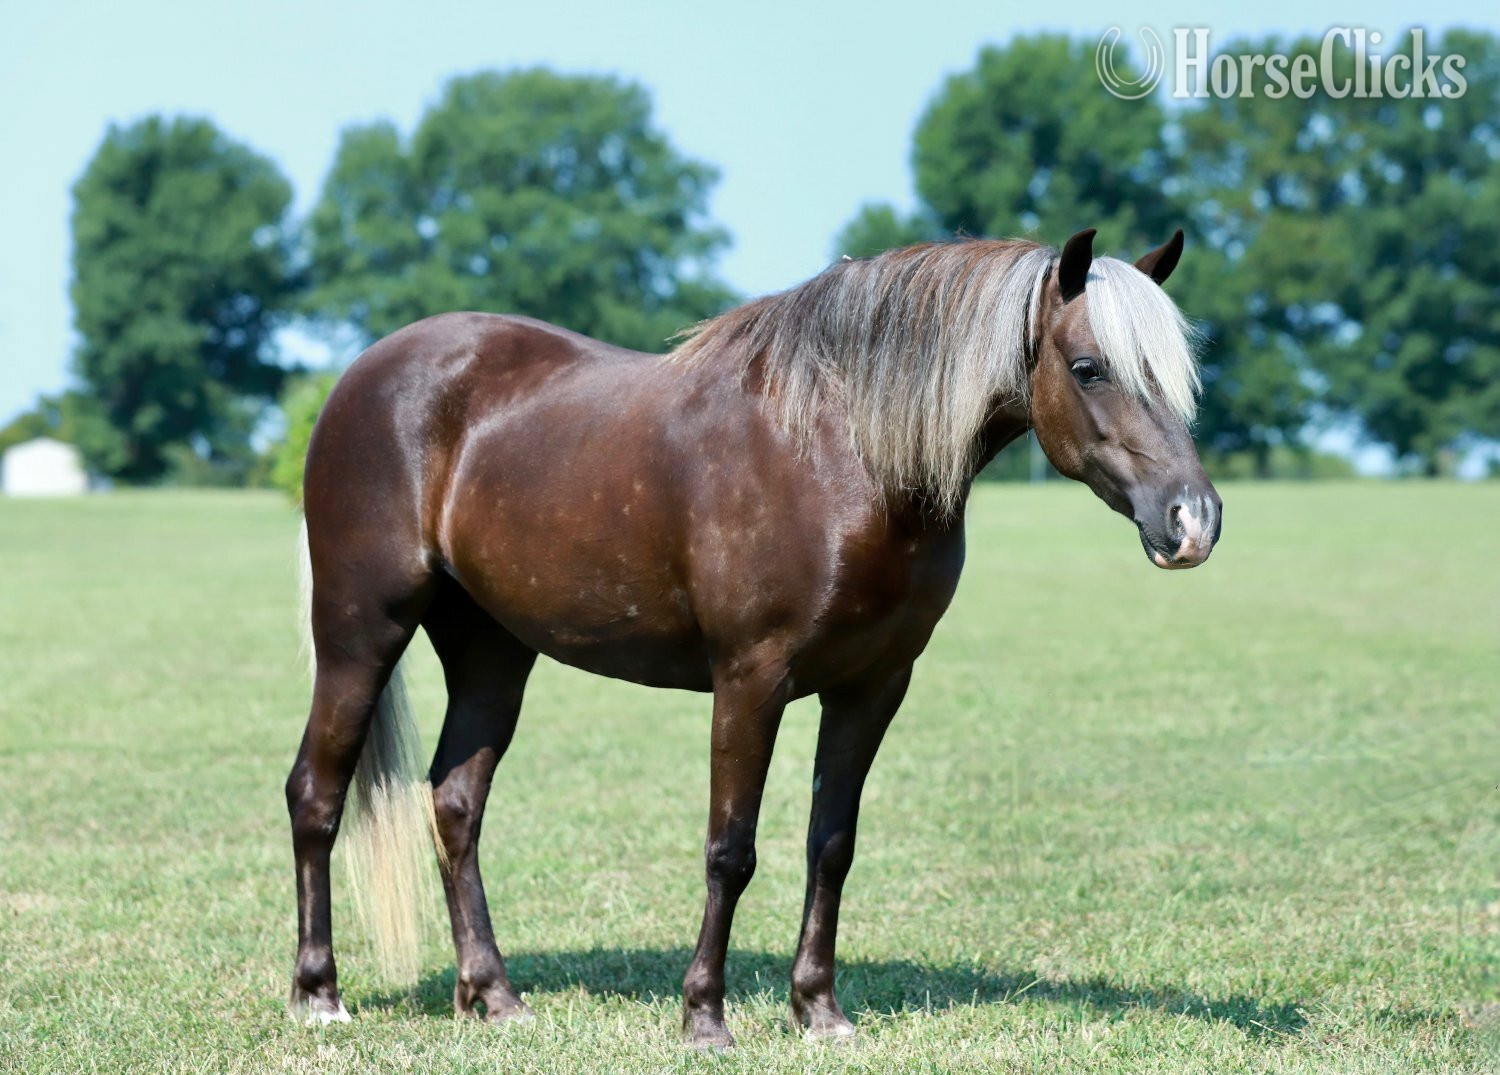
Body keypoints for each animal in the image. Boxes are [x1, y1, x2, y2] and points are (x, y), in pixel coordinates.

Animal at [285, 227, 1222, 1047]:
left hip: (491, 650)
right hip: (361, 630)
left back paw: (493, 995)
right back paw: (319, 995)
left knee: (454, 802)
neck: (844, 453)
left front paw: (820, 1009)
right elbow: (730, 850)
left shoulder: (875, 684)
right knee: (316, 793)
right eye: (1090, 367)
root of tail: (363, 375)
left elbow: (831, 845)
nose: (1193, 520)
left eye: (1178, 375)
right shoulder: (751, 679)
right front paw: (705, 1016)